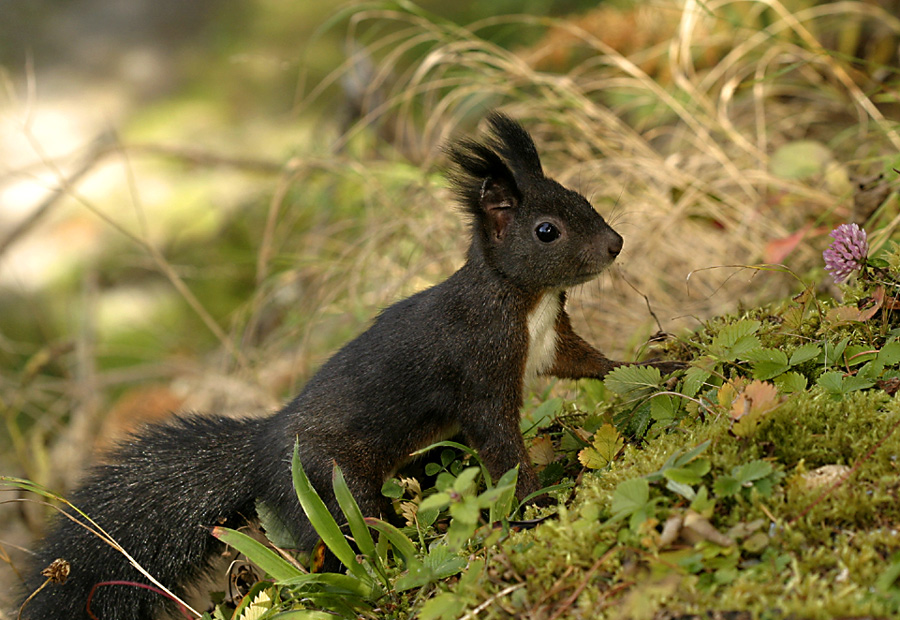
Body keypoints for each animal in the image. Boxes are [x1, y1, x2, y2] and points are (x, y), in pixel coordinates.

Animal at [17, 114, 680, 616]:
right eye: (547, 231)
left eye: (583, 199)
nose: (616, 244)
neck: (524, 299)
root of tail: (263, 448)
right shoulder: (479, 373)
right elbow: (500, 446)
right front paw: (537, 505)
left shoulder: (551, 342)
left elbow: (593, 364)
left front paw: (664, 364)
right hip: (329, 483)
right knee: (343, 536)